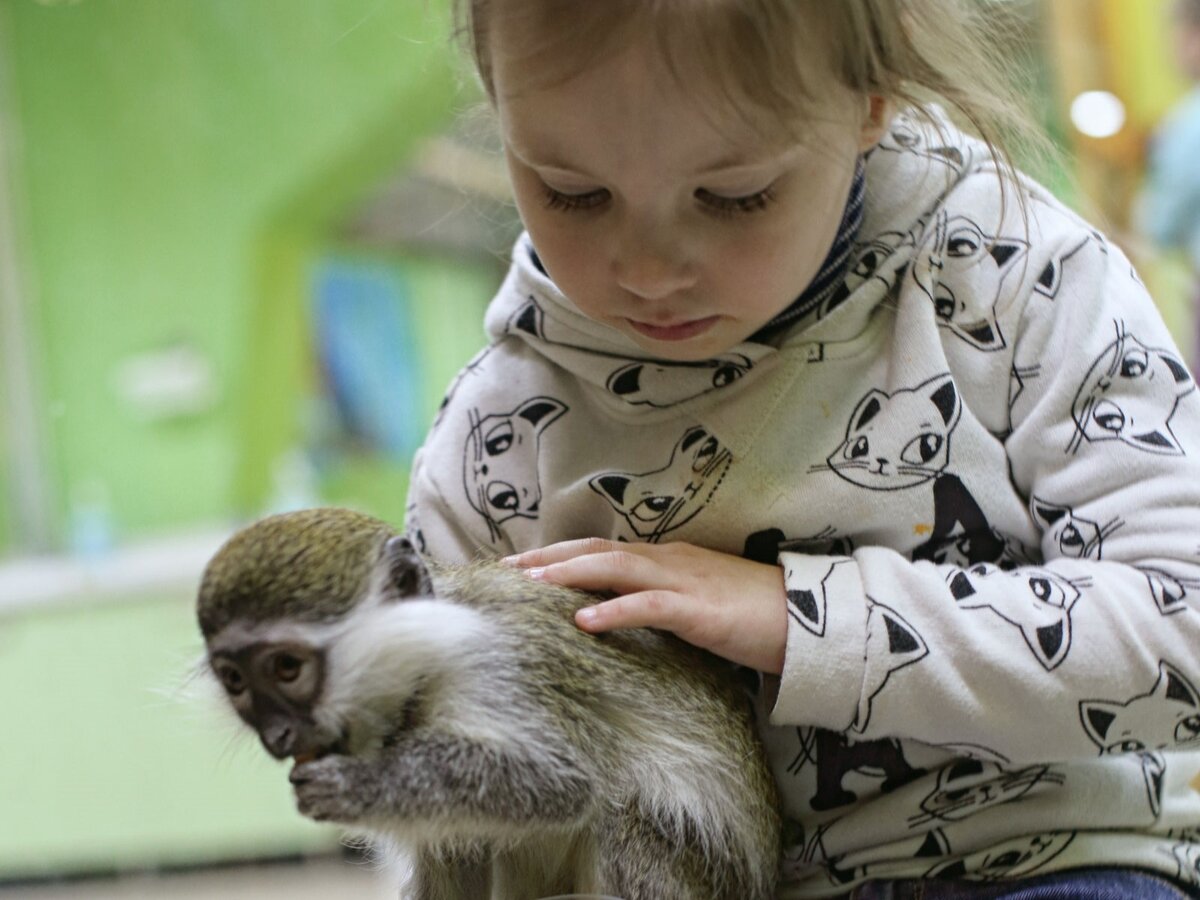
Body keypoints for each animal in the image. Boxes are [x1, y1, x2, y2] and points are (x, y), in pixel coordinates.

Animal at [195, 511, 782, 897]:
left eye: (286, 669)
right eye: (235, 680)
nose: (277, 737)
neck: (425, 660)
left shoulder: (498, 667)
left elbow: (558, 784)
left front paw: (365, 783)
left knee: (623, 815)